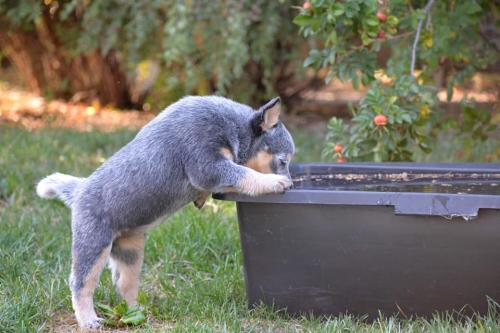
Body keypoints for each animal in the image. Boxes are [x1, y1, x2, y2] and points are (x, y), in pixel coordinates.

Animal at [37, 95, 294, 326]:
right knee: (80, 283)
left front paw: (201, 198)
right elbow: (243, 173)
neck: (234, 128)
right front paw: (274, 182)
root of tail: (79, 189)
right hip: (93, 244)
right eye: (283, 161)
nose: (293, 184)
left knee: (123, 283)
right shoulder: (207, 163)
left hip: (130, 249)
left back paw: (137, 312)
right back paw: (88, 320)